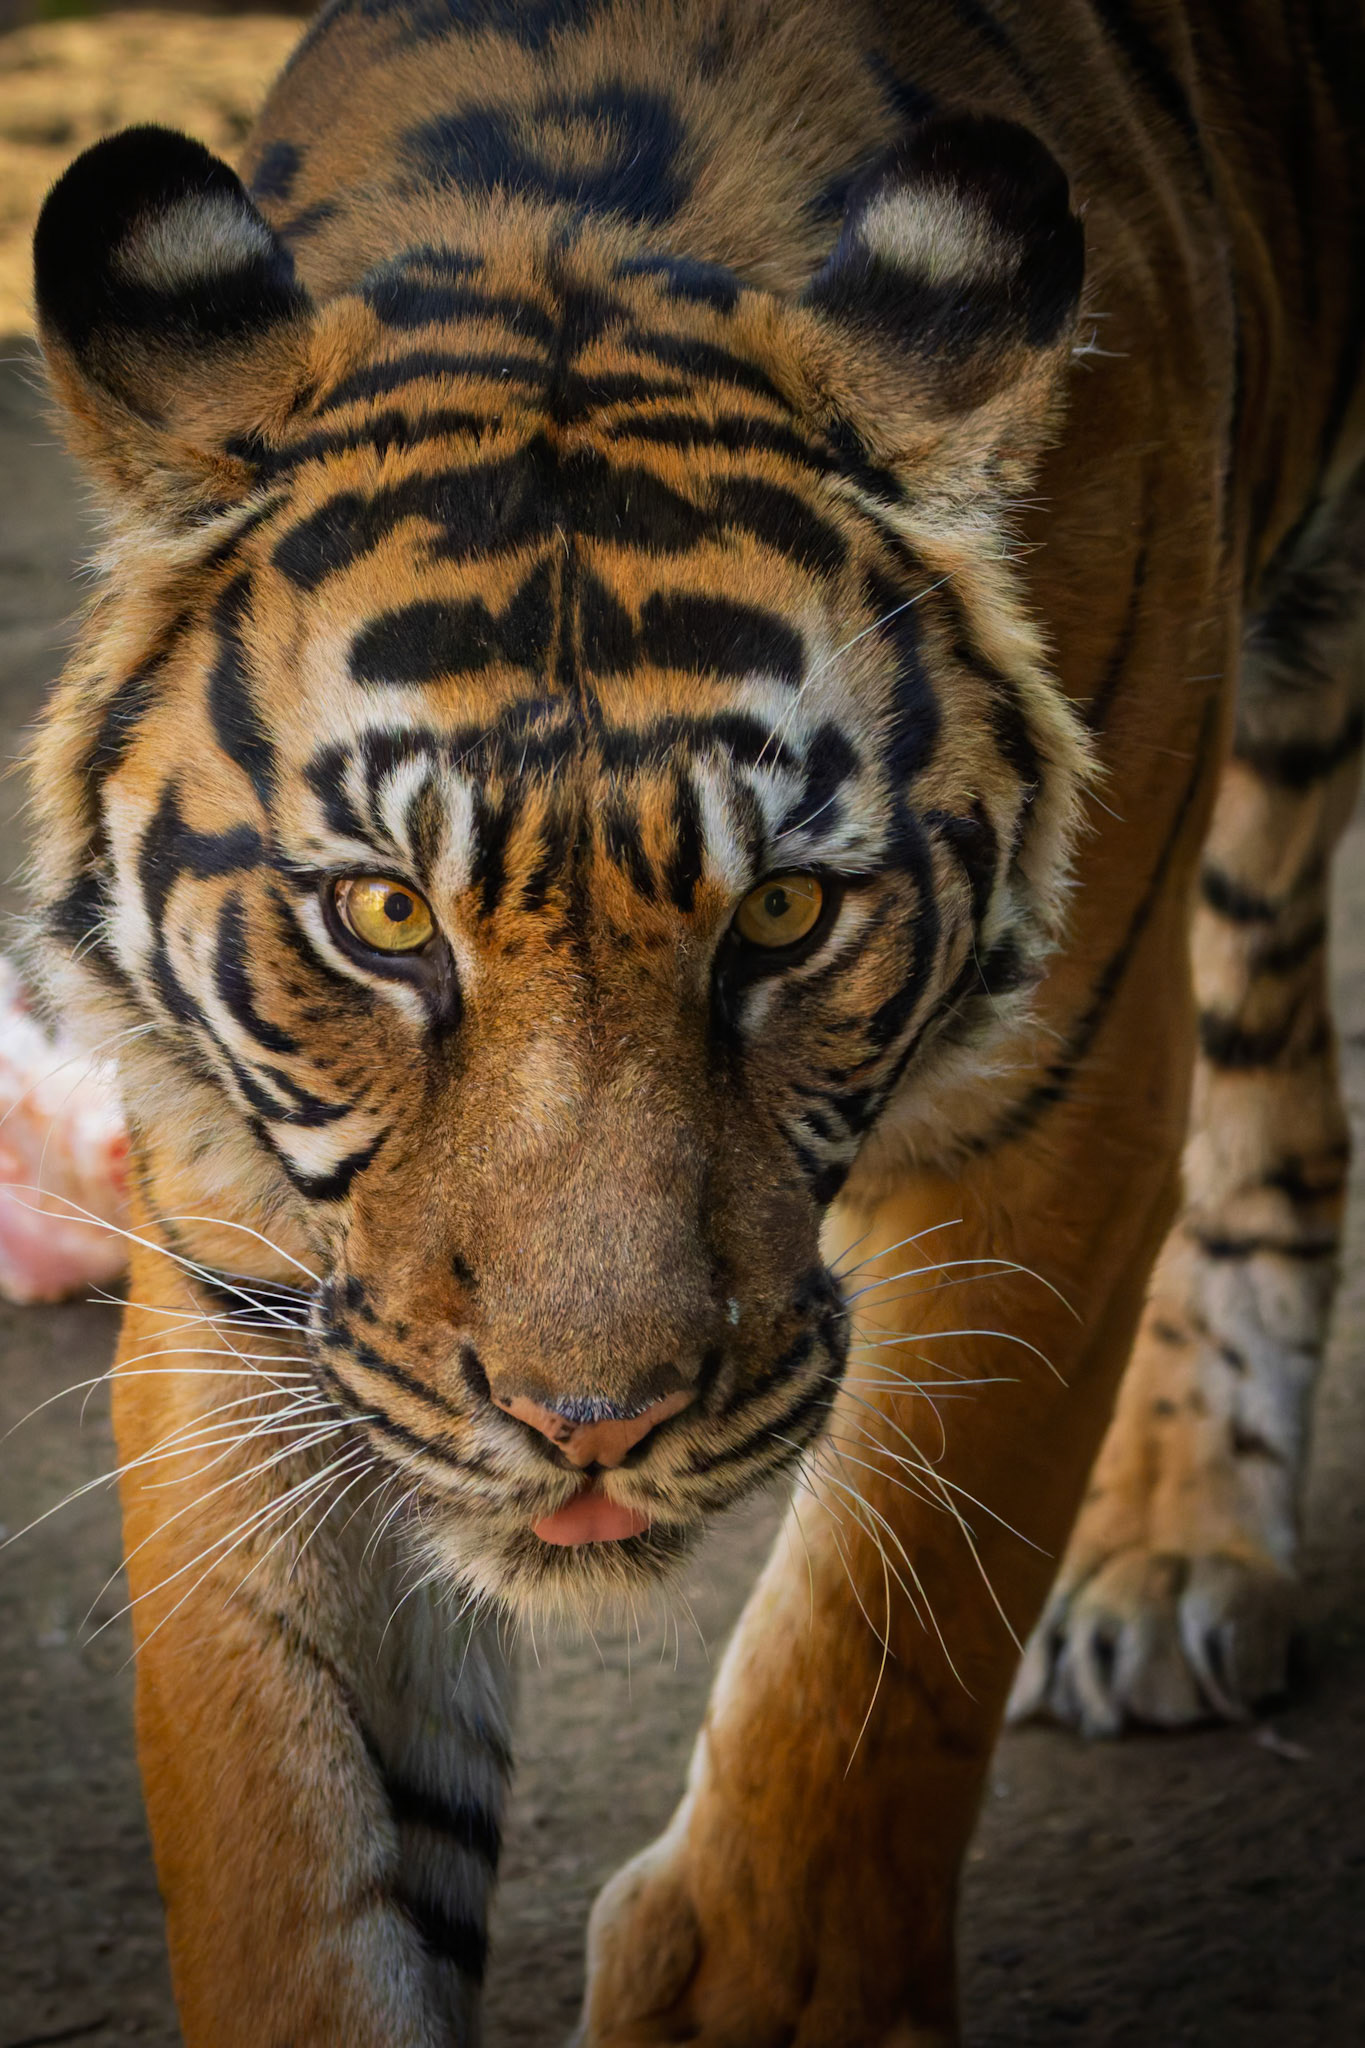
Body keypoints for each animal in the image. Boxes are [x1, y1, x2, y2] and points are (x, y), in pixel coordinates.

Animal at [24, 0, 1364, 2041]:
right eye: (387, 915)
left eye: (786, 912)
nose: (591, 1427)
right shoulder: (256, 1266)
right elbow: (297, 1833)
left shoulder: (1059, 1113)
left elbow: (870, 1655)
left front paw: (761, 1988)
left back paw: (1180, 1546)